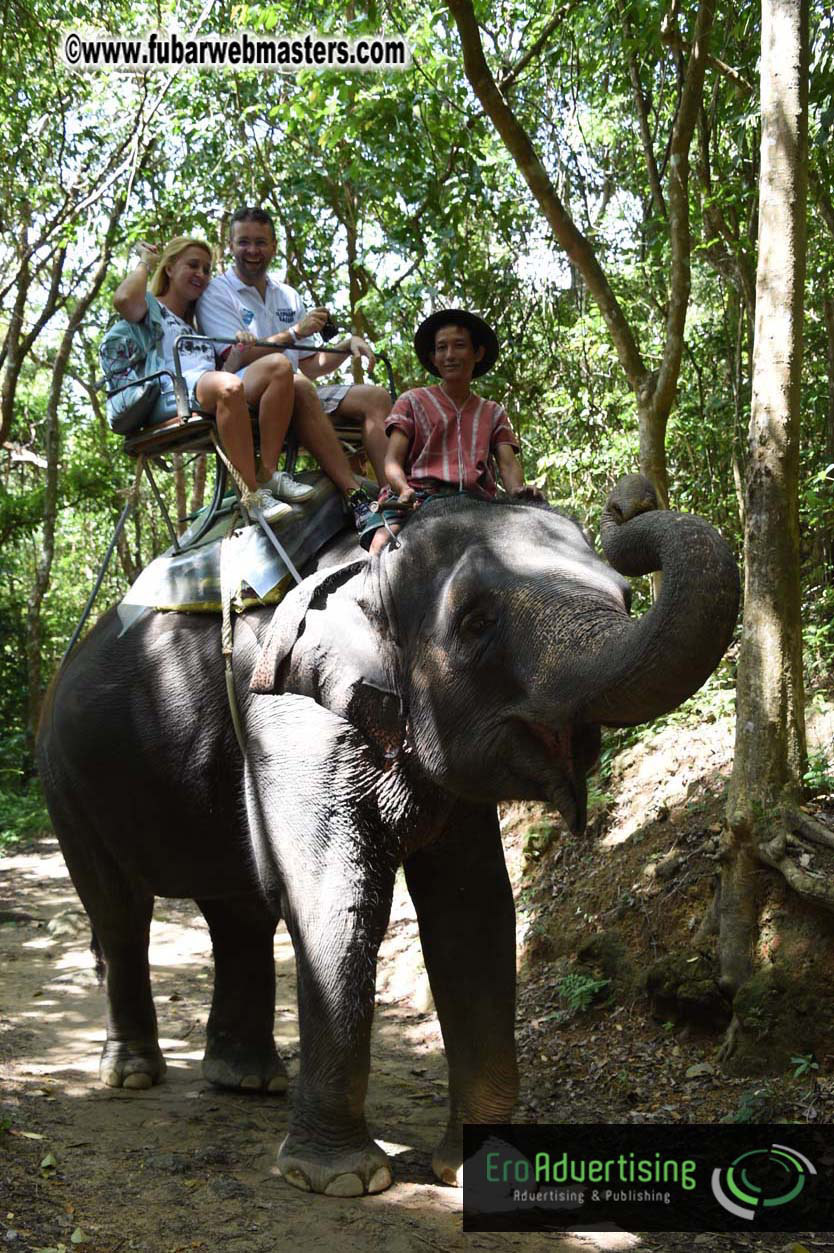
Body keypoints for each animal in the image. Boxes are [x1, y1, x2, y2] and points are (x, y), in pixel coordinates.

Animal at [36, 473, 739, 1198]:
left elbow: (473, 910)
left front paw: (480, 1172)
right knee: (119, 911)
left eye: (625, 596)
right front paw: (341, 1180)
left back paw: (247, 1080)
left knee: (239, 914)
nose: (632, 497)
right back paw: (133, 1075)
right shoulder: (288, 711)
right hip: (64, 781)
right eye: (476, 621)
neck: (371, 559)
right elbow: (337, 901)